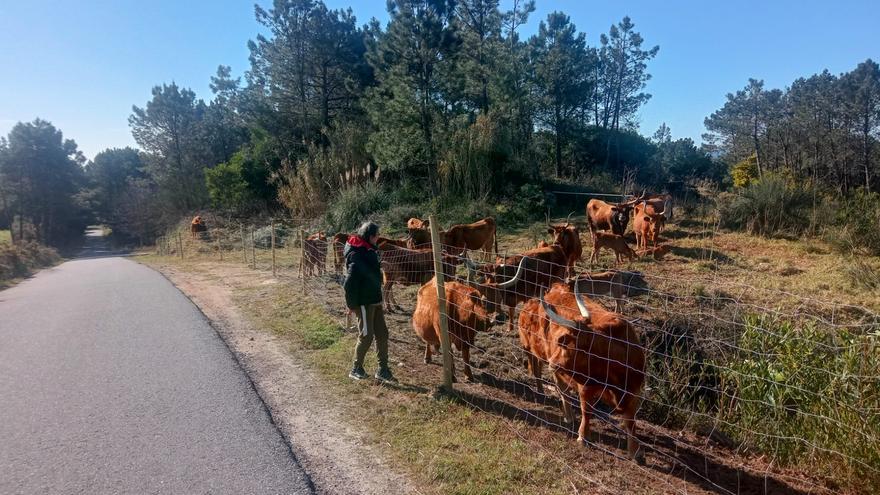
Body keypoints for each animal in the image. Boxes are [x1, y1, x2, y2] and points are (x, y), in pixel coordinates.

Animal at [516, 282, 648, 464]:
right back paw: (569, 416)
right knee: (562, 391)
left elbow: (631, 421)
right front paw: (583, 437)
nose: (552, 362)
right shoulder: (585, 387)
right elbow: (587, 411)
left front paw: (636, 452)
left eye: (565, 344)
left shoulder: (634, 392)